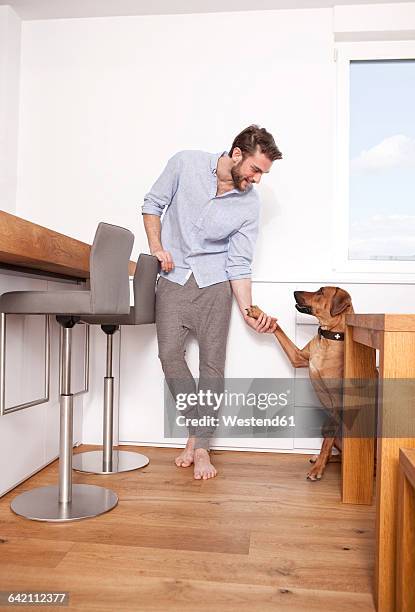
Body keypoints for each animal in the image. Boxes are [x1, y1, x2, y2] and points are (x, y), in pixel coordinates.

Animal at [247, 286, 354, 482]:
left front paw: (317, 470)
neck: (329, 338)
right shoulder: (298, 357)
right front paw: (259, 314)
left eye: (320, 292)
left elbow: (326, 442)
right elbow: (278, 328)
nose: (295, 291)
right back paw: (321, 458)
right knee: (339, 455)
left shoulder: (337, 403)